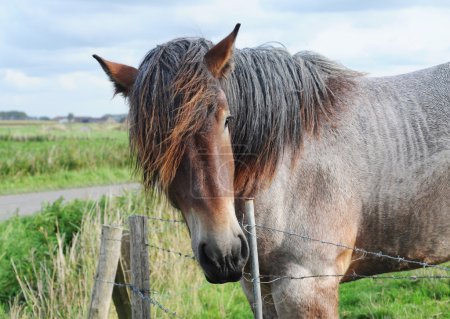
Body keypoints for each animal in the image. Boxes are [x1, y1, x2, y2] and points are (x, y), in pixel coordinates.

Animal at [93, 24, 448, 318]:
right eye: (154, 141)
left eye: (226, 119)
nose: (223, 254)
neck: (287, 165)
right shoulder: (259, 289)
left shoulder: (306, 287)